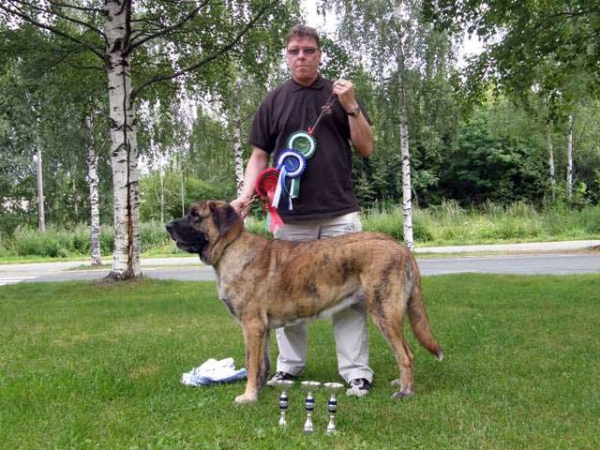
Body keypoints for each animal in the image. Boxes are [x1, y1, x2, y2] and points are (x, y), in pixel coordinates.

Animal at [166, 200, 442, 404]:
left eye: (195, 215)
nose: (168, 226)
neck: (230, 249)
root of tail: (400, 246)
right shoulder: (262, 329)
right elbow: (262, 364)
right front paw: (260, 391)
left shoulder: (251, 326)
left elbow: (251, 363)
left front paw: (248, 396)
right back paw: (400, 382)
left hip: (384, 311)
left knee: (405, 354)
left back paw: (405, 391)